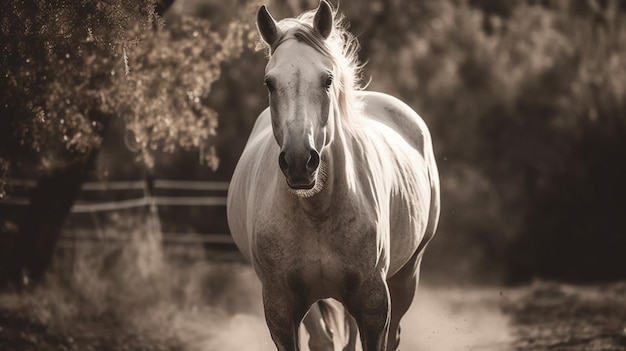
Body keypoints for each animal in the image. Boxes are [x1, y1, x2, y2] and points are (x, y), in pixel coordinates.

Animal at [225, 1, 438, 350]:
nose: (299, 161)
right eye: (269, 83)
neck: (317, 211)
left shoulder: (374, 302)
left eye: (327, 80)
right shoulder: (280, 307)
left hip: (408, 275)